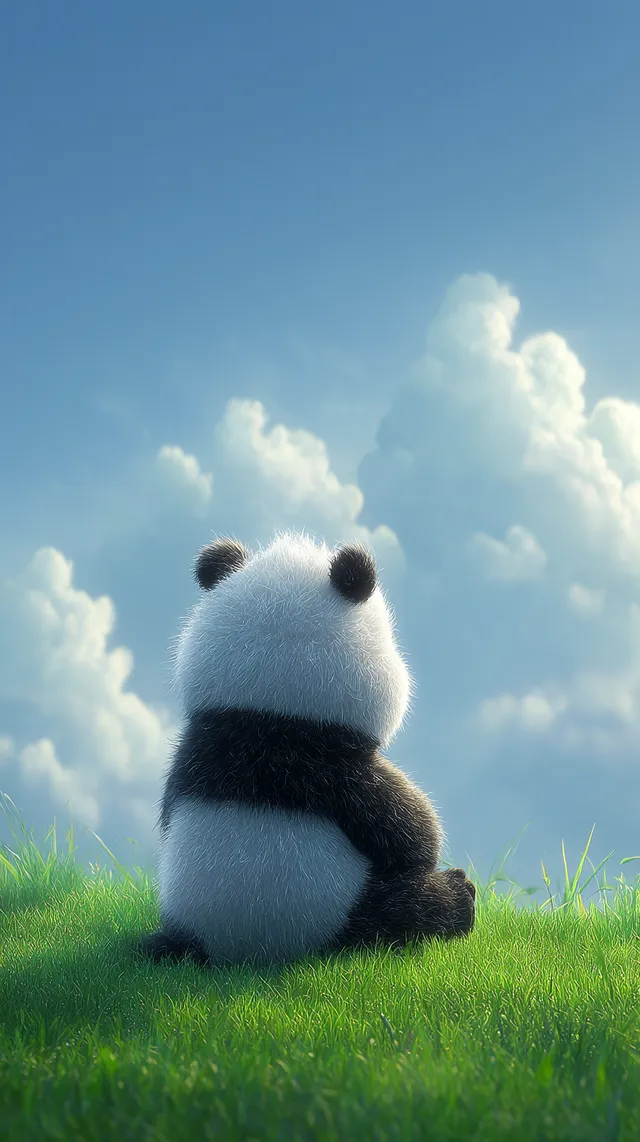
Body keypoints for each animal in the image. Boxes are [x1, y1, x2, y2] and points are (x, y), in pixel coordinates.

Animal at [141, 531, 475, 966]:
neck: (270, 713)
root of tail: (227, 948)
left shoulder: (196, 749)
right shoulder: (336, 768)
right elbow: (412, 834)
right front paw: (431, 848)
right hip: (348, 912)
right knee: (409, 907)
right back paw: (459, 896)